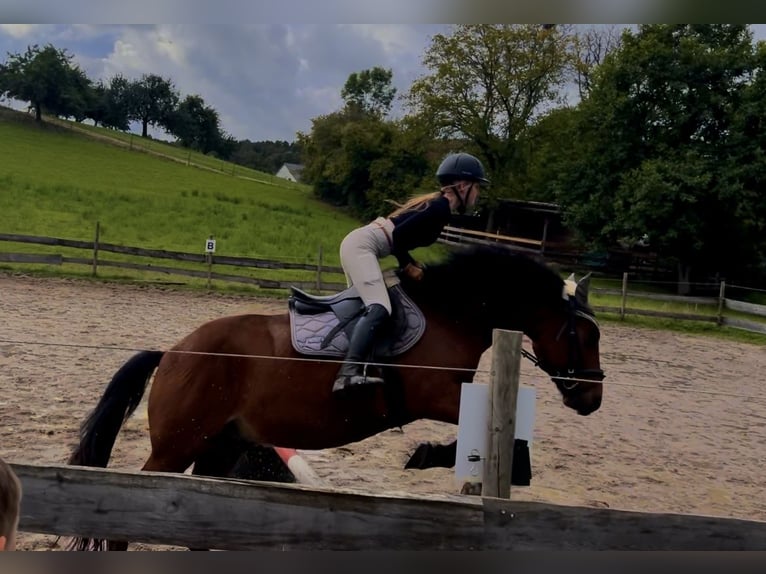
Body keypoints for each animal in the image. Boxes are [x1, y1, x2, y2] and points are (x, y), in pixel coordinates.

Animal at [66, 245, 608, 552]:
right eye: (585, 333)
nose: (592, 398)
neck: (454, 313)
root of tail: (174, 352)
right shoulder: (436, 394)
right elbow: (512, 445)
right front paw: (427, 454)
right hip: (175, 448)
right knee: (126, 519)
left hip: (220, 446)